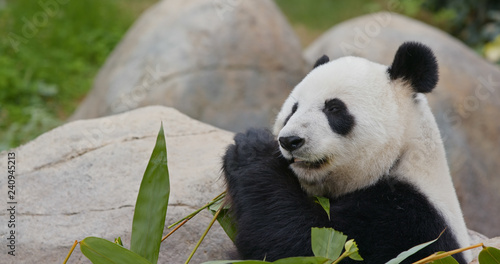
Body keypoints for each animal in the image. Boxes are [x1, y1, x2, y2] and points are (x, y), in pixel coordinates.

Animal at [223, 42, 472, 262]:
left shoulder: (407, 223)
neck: (400, 157)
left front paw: (252, 147)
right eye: (293, 109)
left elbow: (306, 242)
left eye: (334, 108)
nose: (290, 141)